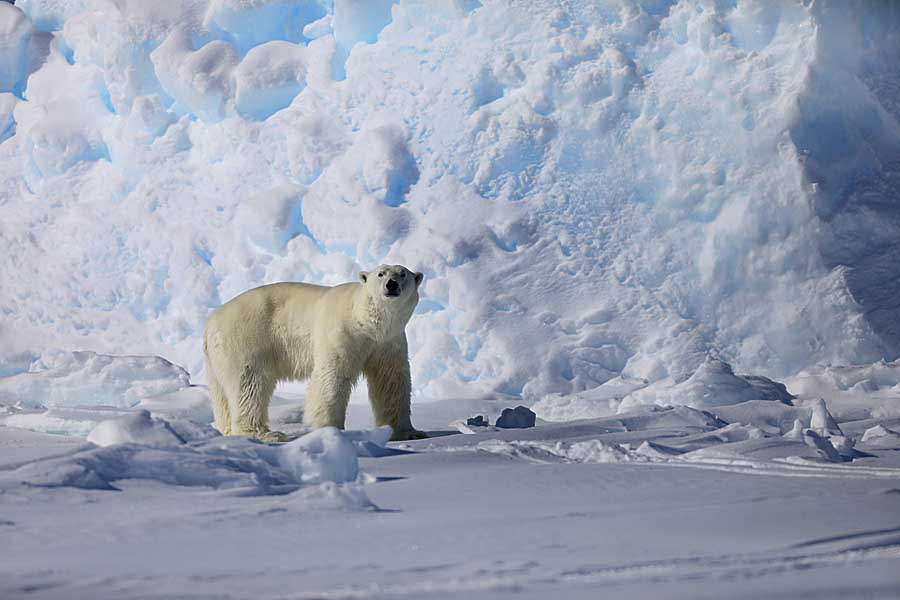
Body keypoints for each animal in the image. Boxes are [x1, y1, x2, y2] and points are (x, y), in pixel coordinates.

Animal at [203, 264, 426, 442]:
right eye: (381, 274)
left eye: (403, 274)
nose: (391, 284)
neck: (365, 320)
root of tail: (211, 321)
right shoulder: (341, 332)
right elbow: (332, 375)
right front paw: (330, 429)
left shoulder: (388, 341)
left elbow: (390, 380)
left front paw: (409, 432)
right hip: (245, 339)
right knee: (249, 384)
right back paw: (266, 434)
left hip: (216, 359)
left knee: (222, 395)